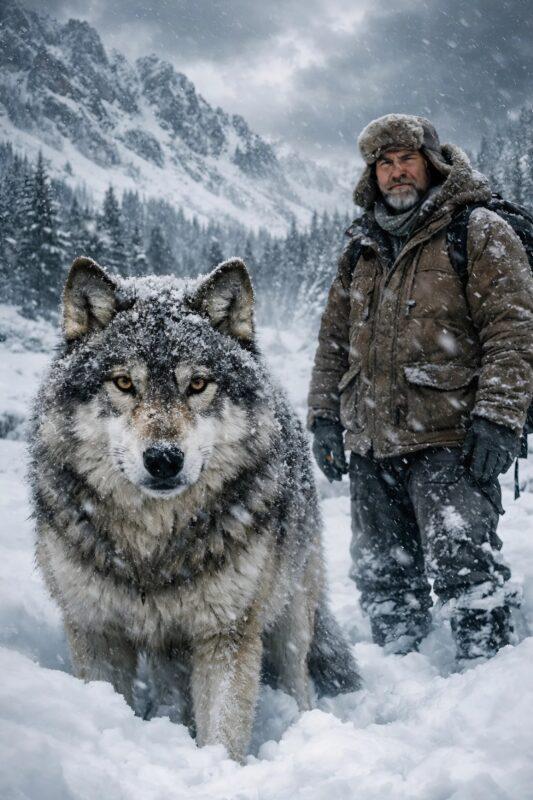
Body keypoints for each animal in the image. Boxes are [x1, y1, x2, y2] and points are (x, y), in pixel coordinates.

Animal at [30, 256, 360, 761]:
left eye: (198, 384)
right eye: (124, 382)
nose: (165, 459)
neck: (151, 546)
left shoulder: (225, 633)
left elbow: (223, 729)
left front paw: (218, 768)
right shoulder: (95, 628)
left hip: (290, 610)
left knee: (298, 674)